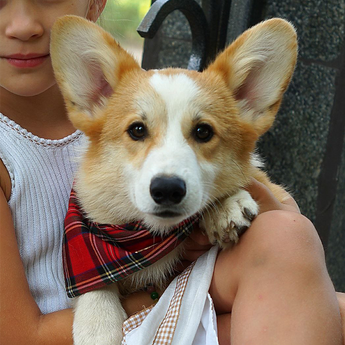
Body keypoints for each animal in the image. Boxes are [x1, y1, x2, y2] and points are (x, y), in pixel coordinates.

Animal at [50, 16, 296, 344]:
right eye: (137, 130)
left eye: (203, 131)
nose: (167, 190)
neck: (151, 237)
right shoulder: (86, 243)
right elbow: (93, 285)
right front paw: (98, 325)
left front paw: (226, 206)